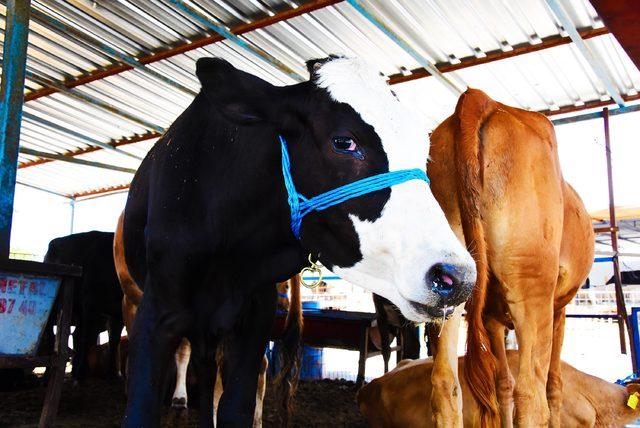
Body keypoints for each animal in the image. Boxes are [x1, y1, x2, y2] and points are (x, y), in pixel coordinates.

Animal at [119, 55, 476, 426]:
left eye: (424, 150)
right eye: (343, 142)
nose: (457, 276)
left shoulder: (255, 319)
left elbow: (235, 407)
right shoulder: (155, 313)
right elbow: (141, 409)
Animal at [424, 88, 596, 426]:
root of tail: (481, 99)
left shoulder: (491, 317)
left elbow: (502, 385)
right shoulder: (560, 311)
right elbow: (553, 386)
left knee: (445, 386)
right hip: (532, 284)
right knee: (532, 395)